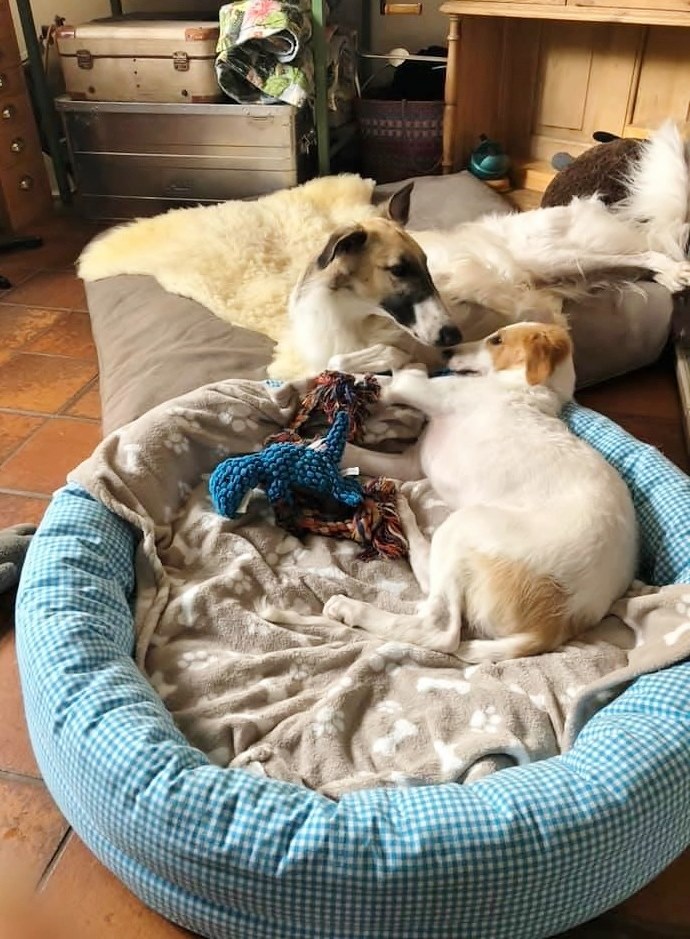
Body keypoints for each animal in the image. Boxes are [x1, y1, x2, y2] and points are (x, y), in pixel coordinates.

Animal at [267, 323, 638, 663]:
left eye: (496, 339)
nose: (446, 352)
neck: (525, 388)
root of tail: (558, 624)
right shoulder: (411, 464)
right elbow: (353, 447)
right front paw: (306, 441)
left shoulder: (417, 388)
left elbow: (380, 370)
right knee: (431, 583)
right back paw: (402, 510)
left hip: (465, 526)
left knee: (439, 628)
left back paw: (351, 607)